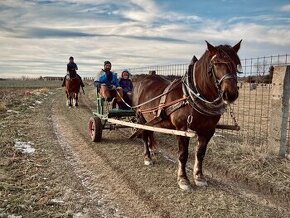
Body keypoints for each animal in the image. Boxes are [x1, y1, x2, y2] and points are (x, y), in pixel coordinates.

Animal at [133, 41, 241, 191]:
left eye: (236, 63)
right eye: (216, 64)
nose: (230, 94)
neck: (192, 96)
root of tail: (143, 78)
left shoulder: (208, 130)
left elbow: (200, 154)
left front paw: (199, 177)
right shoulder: (182, 129)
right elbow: (183, 155)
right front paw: (183, 179)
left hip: (151, 119)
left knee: (150, 133)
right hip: (141, 117)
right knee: (144, 135)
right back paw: (147, 157)